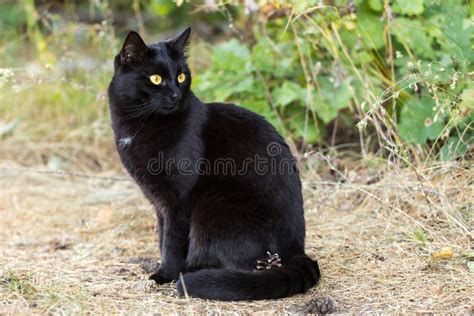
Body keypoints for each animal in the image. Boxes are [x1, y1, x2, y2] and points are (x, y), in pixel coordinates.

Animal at [107, 27, 320, 302]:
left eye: (181, 76)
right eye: (155, 79)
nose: (176, 94)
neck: (142, 124)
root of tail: (298, 252)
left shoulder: (177, 199)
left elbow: (172, 240)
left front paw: (164, 274)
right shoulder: (159, 201)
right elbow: (162, 234)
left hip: (215, 205)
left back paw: (193, 273)